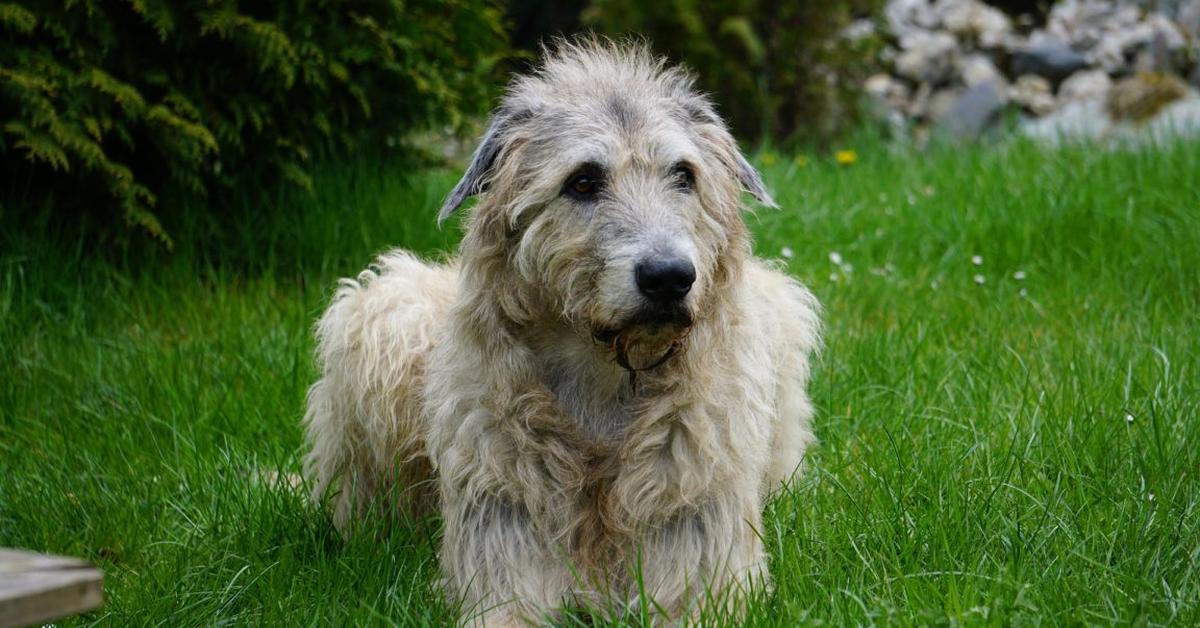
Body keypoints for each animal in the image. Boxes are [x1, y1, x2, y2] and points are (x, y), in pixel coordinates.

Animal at [304, 38, 820, 624]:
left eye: (684, 175)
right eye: (583, 181)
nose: (669, 277)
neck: (605, 377)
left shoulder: (708, 560)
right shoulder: (500, 544)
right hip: (383, 315)